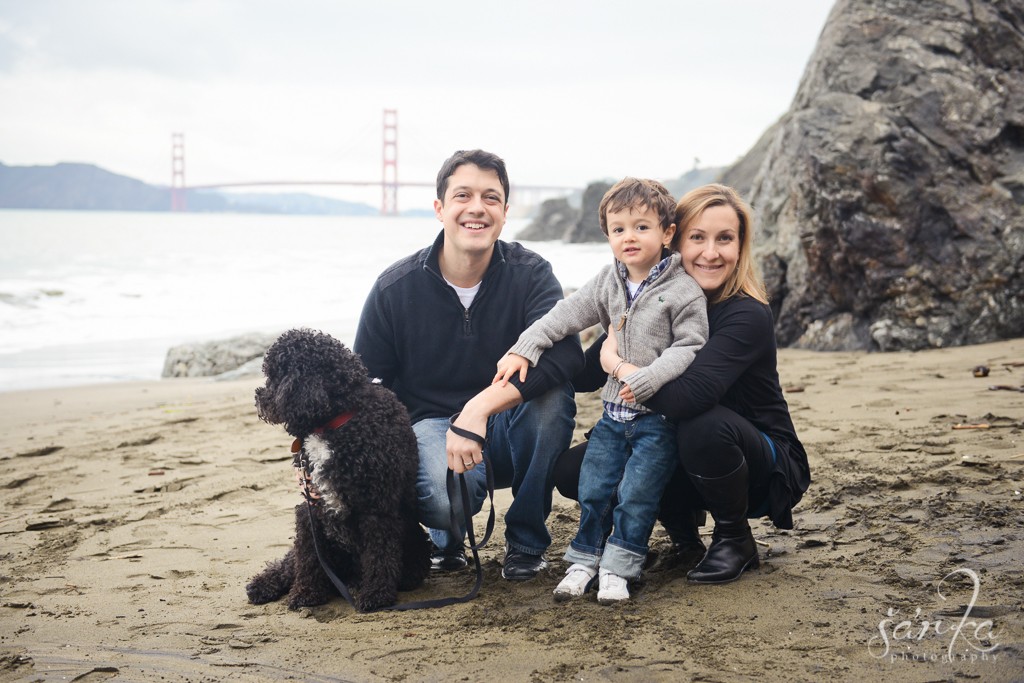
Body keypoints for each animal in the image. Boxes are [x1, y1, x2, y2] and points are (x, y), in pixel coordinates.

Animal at [245, 327, 430, 610]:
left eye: (274, 377)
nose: (257, 395)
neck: (333, 423)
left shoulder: (377, 507)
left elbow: (379, 554)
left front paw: (376, 594)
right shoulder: (309, 507)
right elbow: (307, 557)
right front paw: (306, 593)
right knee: (290, 563)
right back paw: (263, 585)